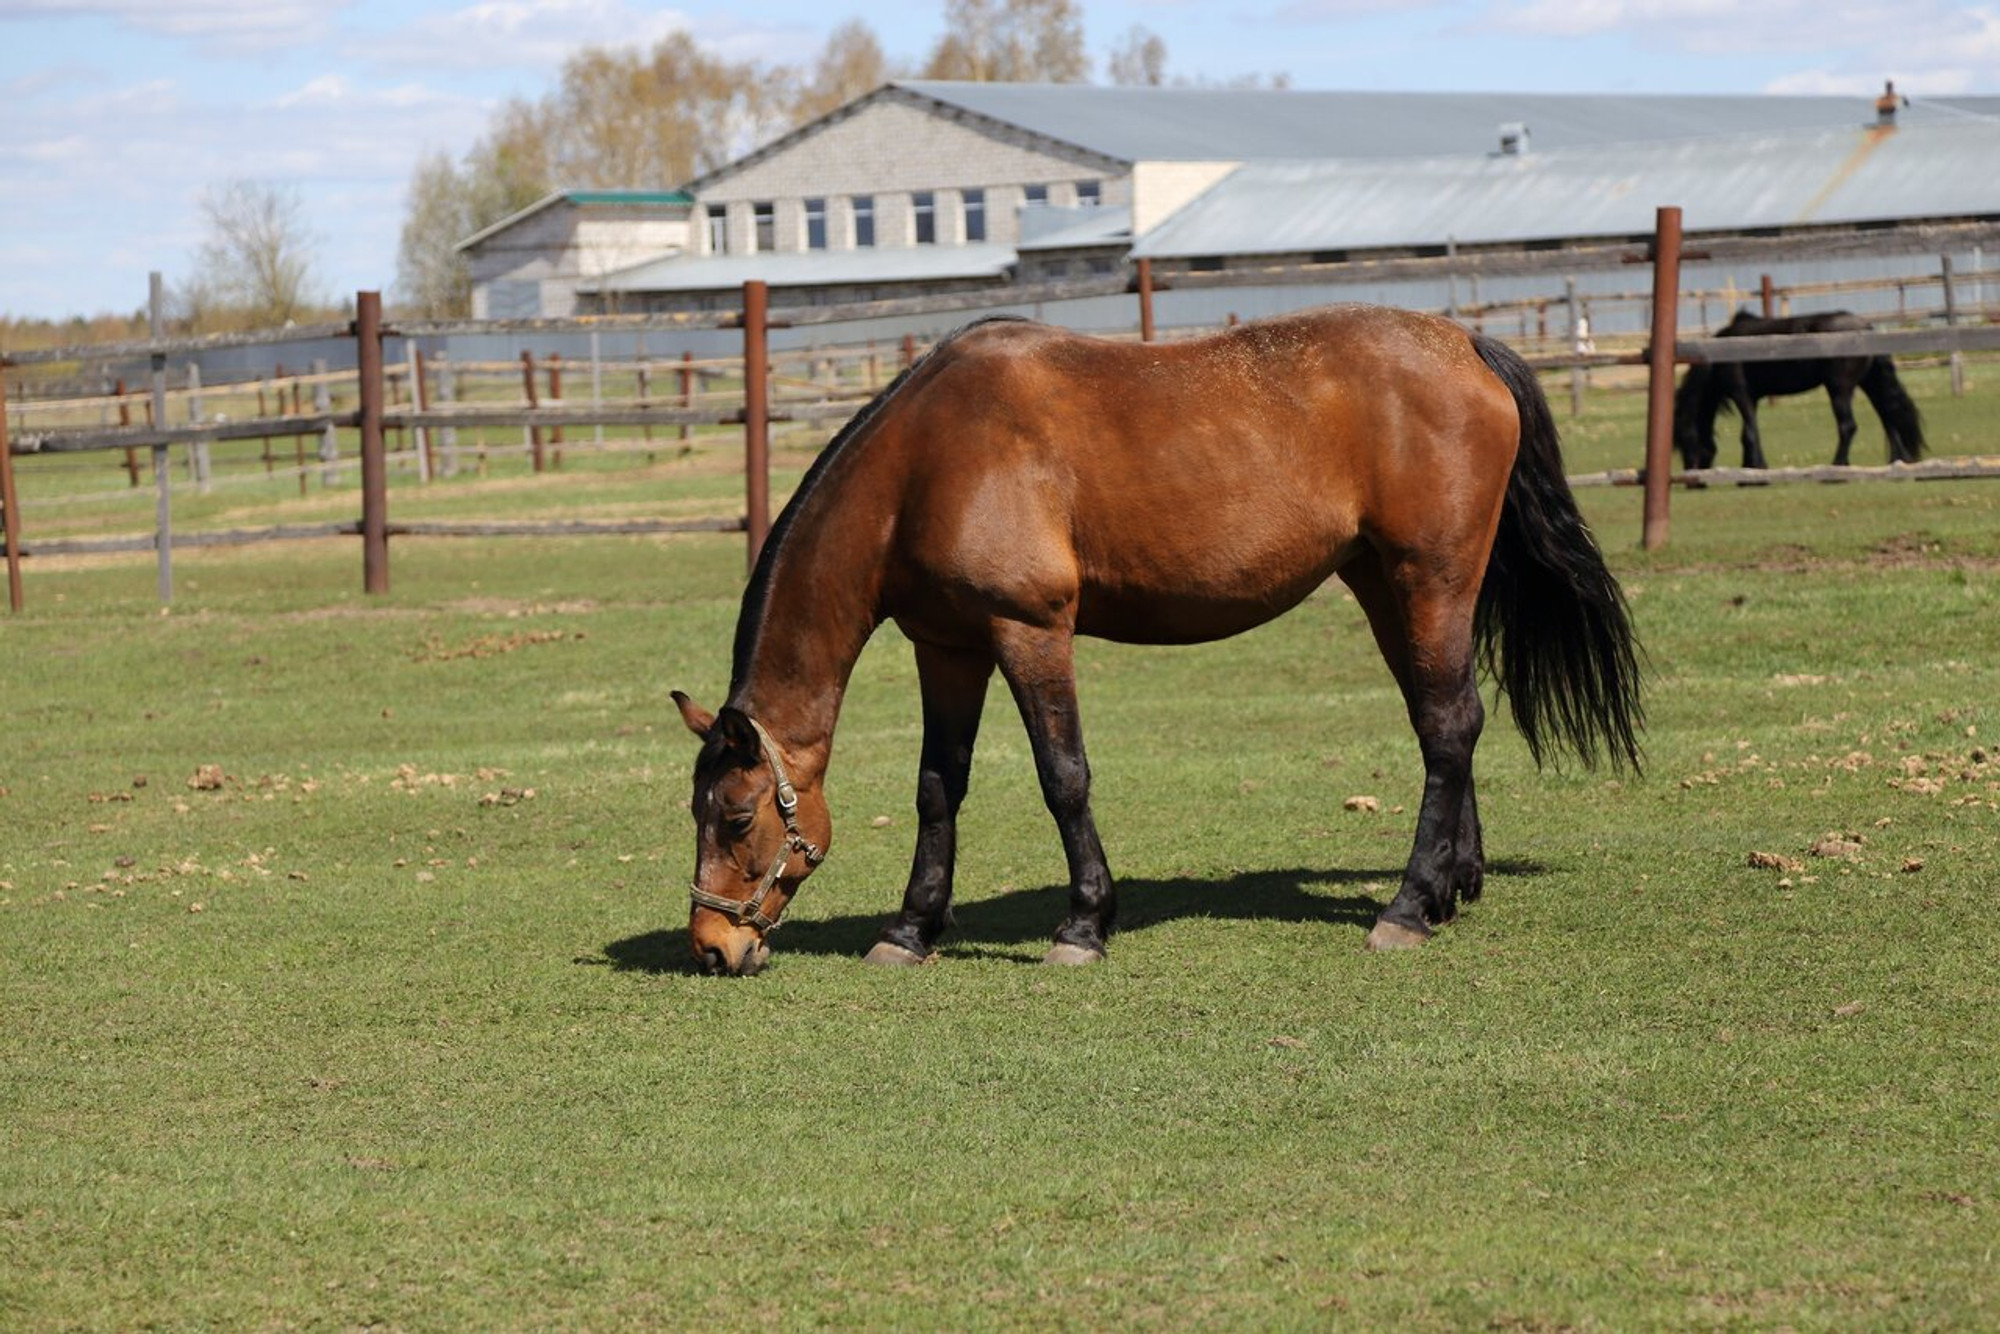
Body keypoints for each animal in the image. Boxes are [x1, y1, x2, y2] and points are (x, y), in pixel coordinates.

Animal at [672, 308, 1640, 976]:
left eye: (738, 815)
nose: (712, 945)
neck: (925, 462)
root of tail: (1465, 344)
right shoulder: (947, 647)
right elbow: (938, 789)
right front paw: (911, 929)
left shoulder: (1031, 632)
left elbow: (1063, 778)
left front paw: (1084, 925)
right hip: (1384, 584)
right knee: (1447, 720)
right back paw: (1447, 889)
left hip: (1430, 579)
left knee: (1447, 727)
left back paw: (1404, 908)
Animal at [1672, 310, 1920, 470]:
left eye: (1683, 439)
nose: (1692, 473)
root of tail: (1866, 327)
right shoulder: (1753, 398)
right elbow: (1748, 433)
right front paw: (1750, 467)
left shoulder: (1741, 394)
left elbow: (1749, 433)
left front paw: (1757, 467)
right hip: (1868, 384)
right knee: (1888, 418)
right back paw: (1898, 461)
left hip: (1839, 389)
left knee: (1848, 426)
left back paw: (1838, 464)